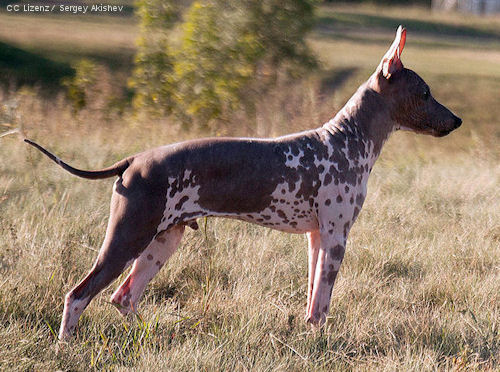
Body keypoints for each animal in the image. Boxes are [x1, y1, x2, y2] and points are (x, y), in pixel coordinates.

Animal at [23, 25, 460, 340]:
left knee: (124, 297)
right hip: (128, 237)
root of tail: (133, 162)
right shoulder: (336, 236)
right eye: (425, 92)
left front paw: (309, 335)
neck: (345, 139)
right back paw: (66, 344)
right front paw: (321, 341)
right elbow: (322, 303)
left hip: (163, 241)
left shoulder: (317, 238)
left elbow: (312, 301)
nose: (456, 121)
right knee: (79, 294)